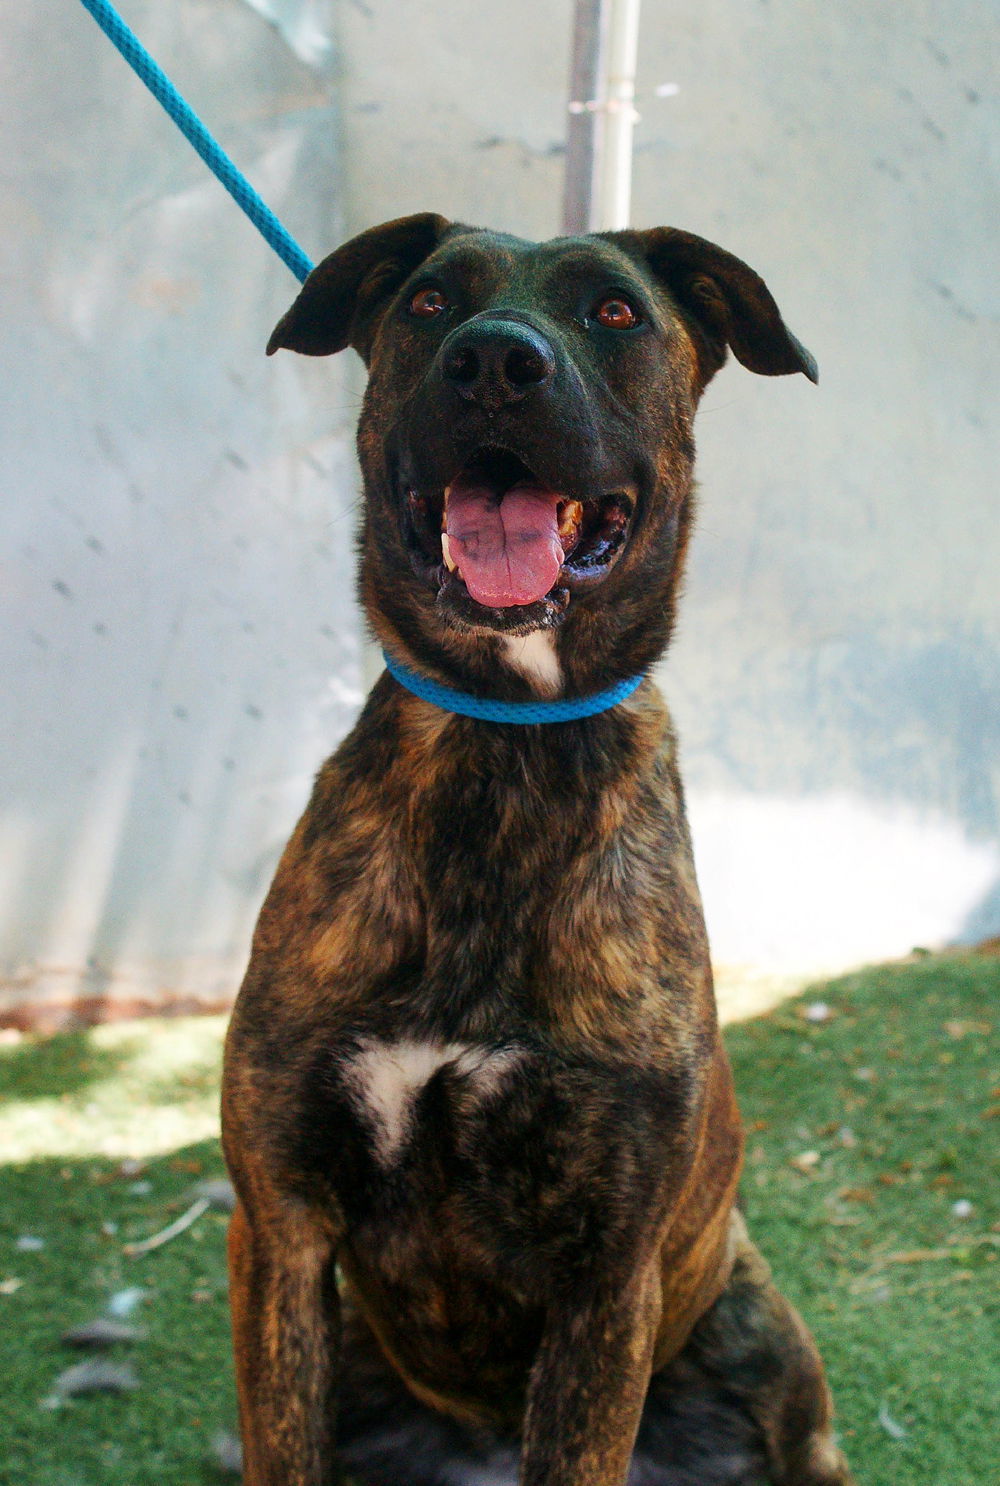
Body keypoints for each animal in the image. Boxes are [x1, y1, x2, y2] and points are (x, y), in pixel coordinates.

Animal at [222, 212, 855, 1486]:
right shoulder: (278, 1229)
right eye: (429, 302)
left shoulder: (607, 1276)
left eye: (613, 310)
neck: (503, 750)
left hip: (762, 1342)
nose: (494, 362)